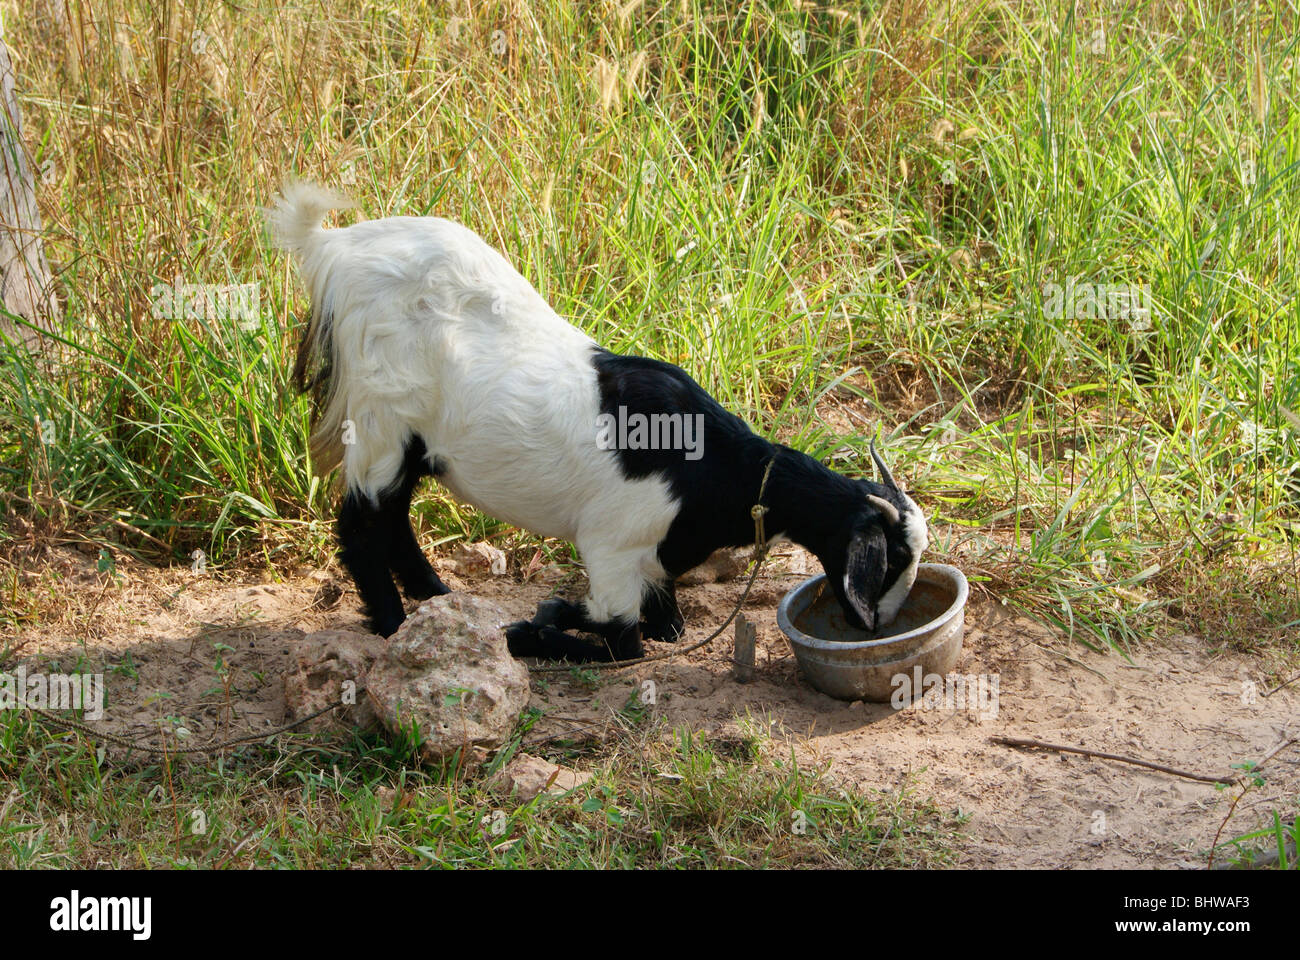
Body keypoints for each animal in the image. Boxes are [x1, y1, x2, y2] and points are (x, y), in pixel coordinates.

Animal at [269, 184, 930, 666]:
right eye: (893, 558)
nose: (878, 623)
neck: (714, 469)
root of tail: (335, 250)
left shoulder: (656, 553)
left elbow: (664, 624)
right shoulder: (613, 546)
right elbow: (622, 640)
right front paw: (535, 627)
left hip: (415, 441)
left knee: (394, 517)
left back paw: (438, 599)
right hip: (380, 418)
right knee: (362, 523)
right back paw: (393, 622)